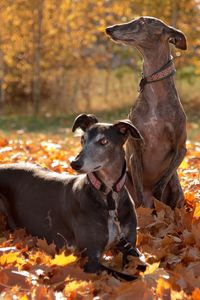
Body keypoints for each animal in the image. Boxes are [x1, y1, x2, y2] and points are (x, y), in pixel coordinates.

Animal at [0, 113, 143, 278]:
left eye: (104, 141)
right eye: (82, 139)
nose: (75, 163)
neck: (109, 195)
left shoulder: (131, 246)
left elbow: (142, 266)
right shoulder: (90, 259)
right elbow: (127, 277)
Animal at [106, 16, 188, 209]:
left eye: (143, 22)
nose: (108, 29)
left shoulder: (181, 148)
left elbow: (162, 182)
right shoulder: (135, 150)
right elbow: (139, 193)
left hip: (177, 187)